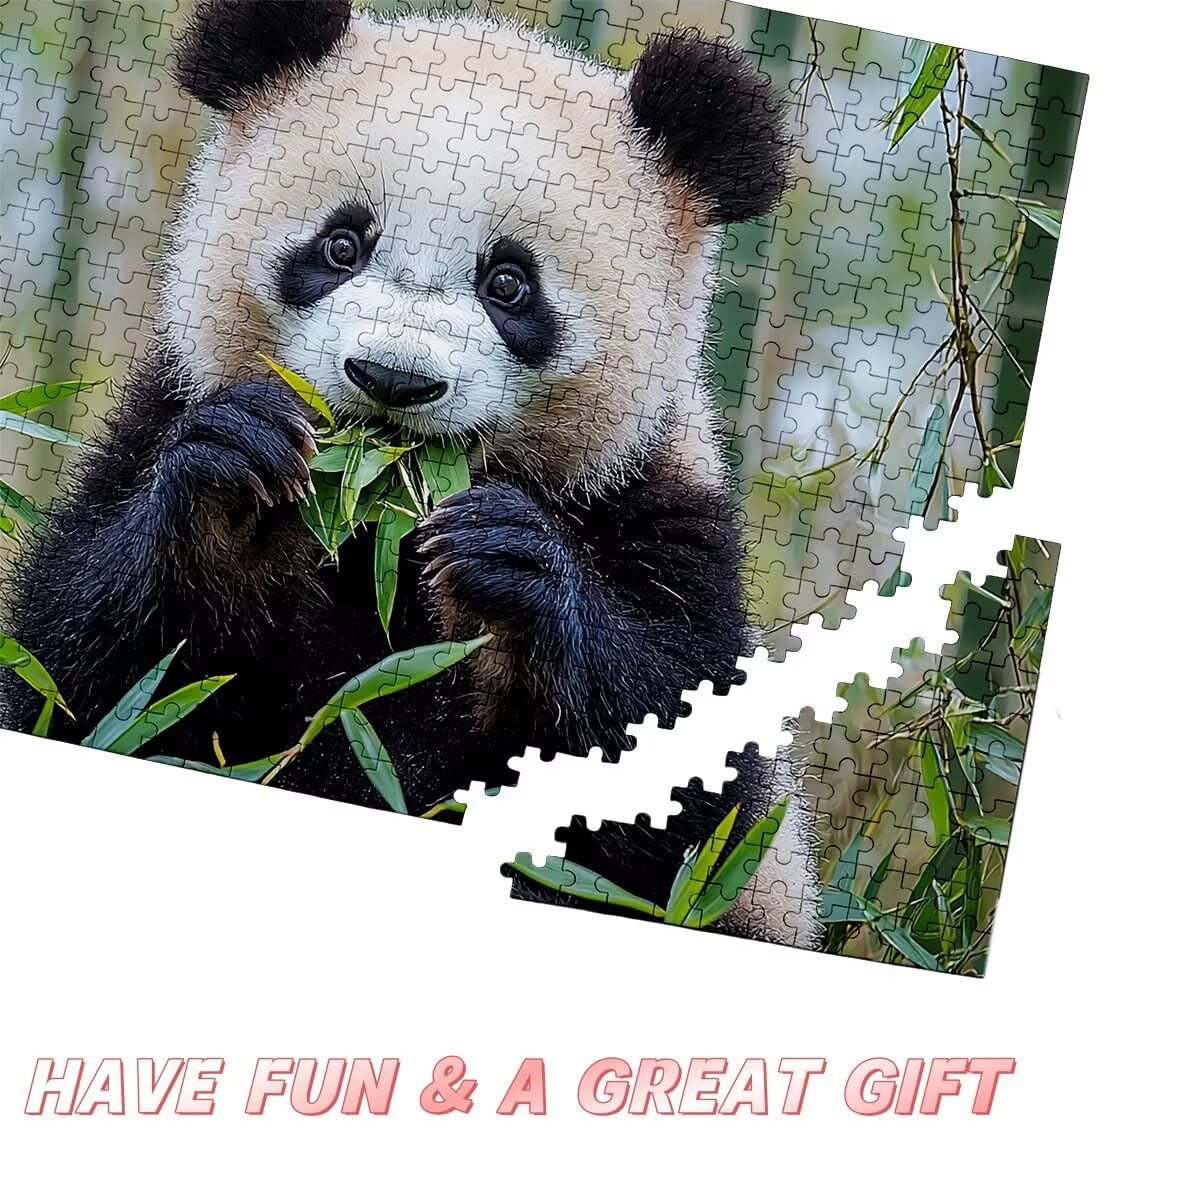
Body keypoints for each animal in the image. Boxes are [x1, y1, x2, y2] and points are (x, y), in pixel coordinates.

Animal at [0, 1, 820, 948]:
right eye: (341, 244)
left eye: (510, 283)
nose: (392, 379)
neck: (372, 526)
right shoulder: (156, 421)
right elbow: (82, 675)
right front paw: (234, 491)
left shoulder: (659, 514)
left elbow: (681, 814)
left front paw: (505, 566)